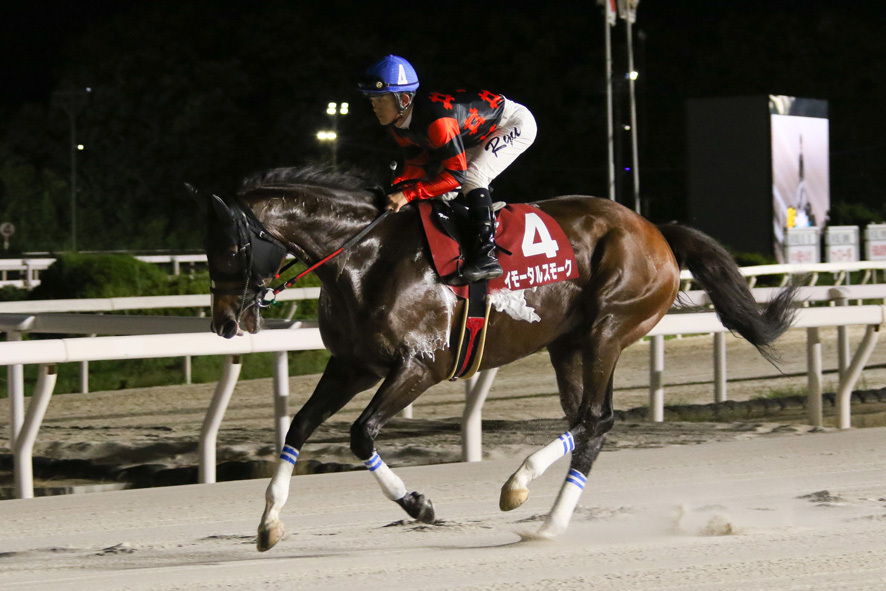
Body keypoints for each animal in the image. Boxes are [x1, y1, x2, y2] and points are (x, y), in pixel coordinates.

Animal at [199, 165, 796, 552]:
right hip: (568, 344)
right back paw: (547, 523)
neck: (364, 257)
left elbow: (361, 434)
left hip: (608, 327)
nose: (224, 323)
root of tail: (656, 231)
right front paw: (268, 524)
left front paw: (419, 505)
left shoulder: (421, 365)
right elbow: (299, 425)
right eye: (207, 250)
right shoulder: (353, 364)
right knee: (590, 423)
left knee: (595, 417)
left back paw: (519, 488)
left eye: (230, 247)